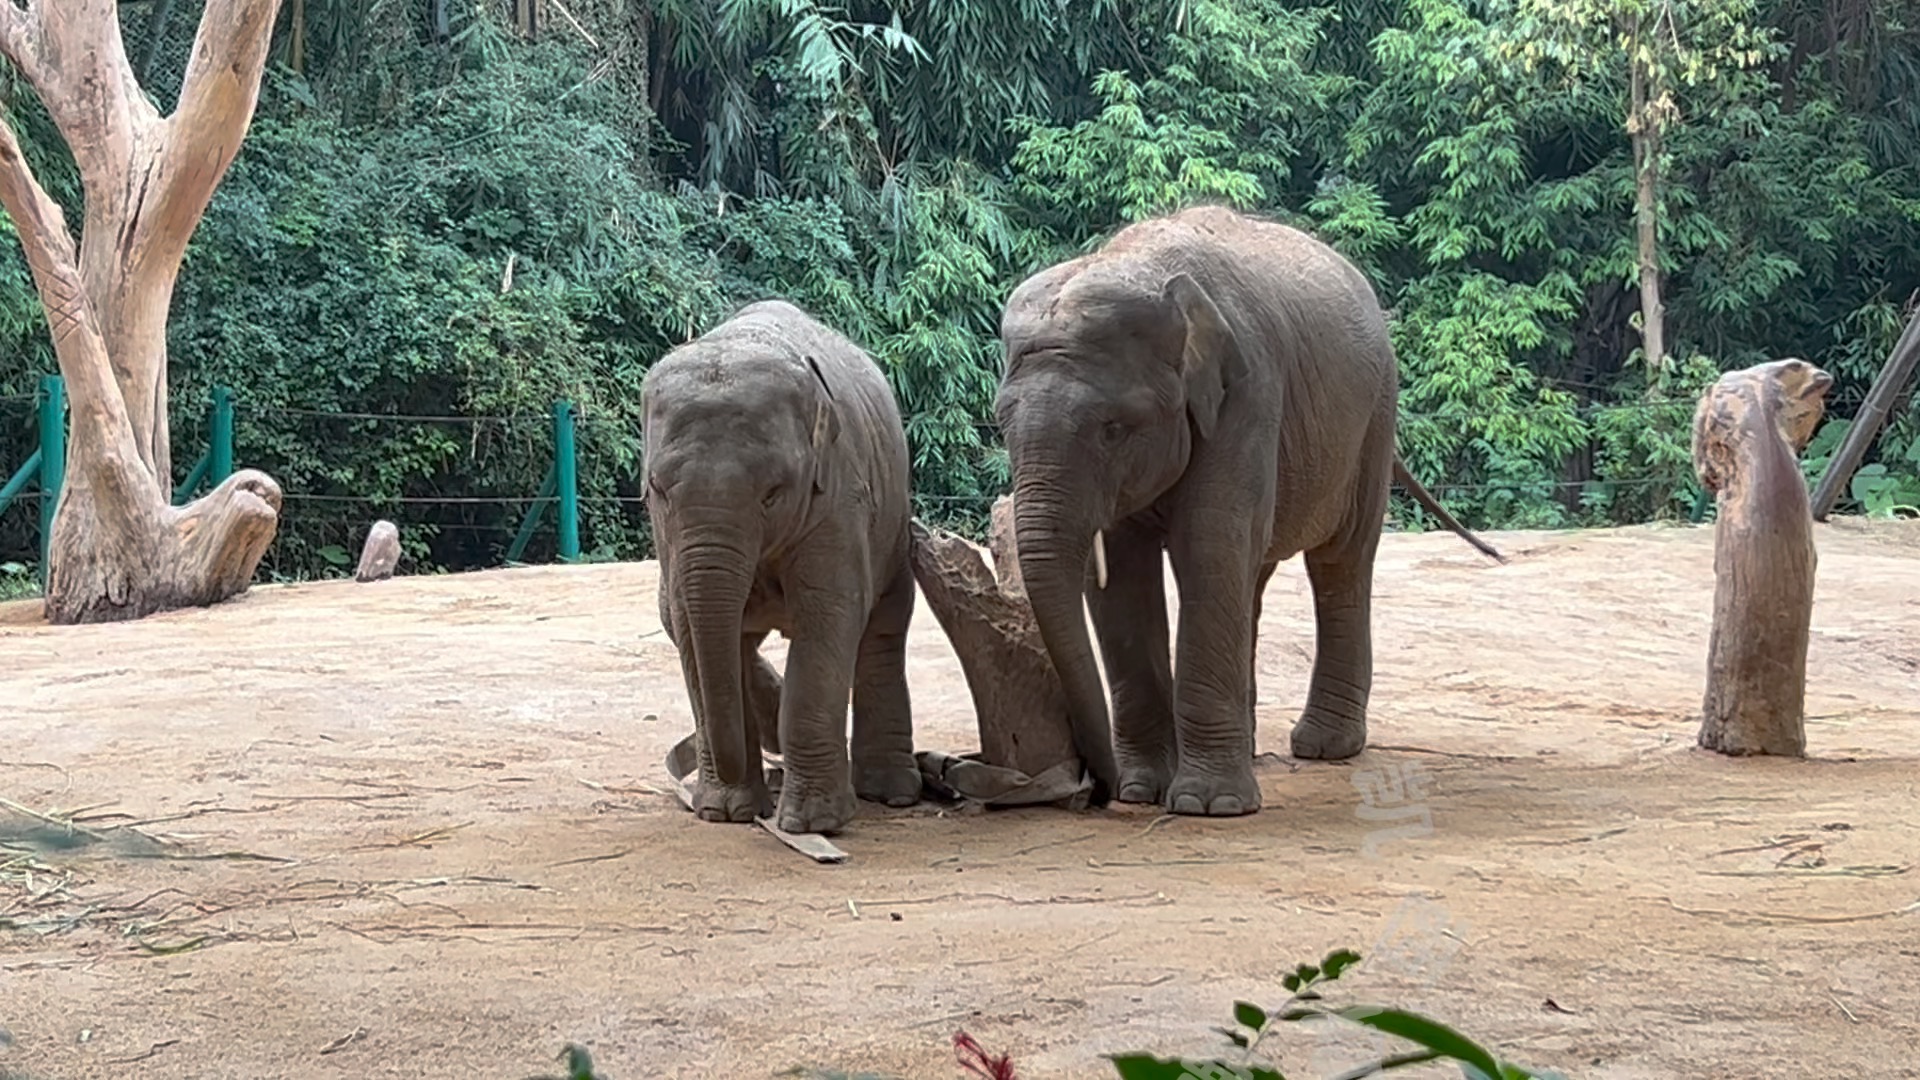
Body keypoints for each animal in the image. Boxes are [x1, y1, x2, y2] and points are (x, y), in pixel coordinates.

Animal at [637, 297, 921, 837]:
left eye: (773, 491)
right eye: (657, 487)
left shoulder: (838, 494)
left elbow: (831, 613)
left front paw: (811, 824)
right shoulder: (669, 534)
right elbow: (683, 620)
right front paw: (725, 812)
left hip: (894, 525)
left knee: (882, 629)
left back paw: (891, 793)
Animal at [998, 201, 1505, 810]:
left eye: (1113, 428)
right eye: (1001, 424)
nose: (1099, 790)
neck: (1140, 267)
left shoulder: (1249, 395)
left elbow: (1209, 547)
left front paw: (1207, 805)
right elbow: (1121, 574)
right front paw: (1144, 791)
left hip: (1374, 417)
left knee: (1339, 561)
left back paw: (1323, 747)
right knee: (1255, 574)